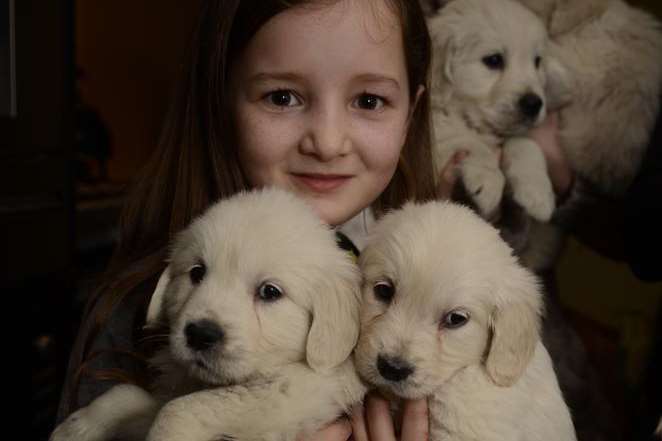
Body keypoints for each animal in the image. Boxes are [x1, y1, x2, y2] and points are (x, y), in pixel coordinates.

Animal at [50, 187, 368, 440]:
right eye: (197, 272)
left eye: (270, 292)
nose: (200, 335)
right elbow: (127, 394)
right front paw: (76, 427)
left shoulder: (301, 392)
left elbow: (181, 408)